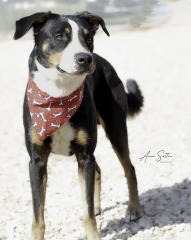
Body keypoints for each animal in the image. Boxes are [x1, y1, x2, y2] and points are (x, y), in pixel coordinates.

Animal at [13, 11, 143, 240]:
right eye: (59, 36)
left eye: (88, 37)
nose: (85, 58)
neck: (58, 95)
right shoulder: (37, 161)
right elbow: (38, 218)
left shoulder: (84, 156)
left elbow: (87, 214)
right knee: (99, 170)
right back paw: (100, 206)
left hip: (116, 130)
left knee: (129, 169)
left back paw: (133, 209)